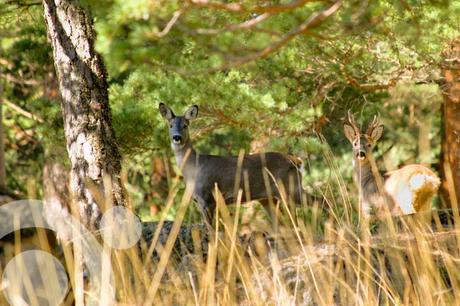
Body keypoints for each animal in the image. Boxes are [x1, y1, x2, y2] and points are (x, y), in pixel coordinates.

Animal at [160, 103, 308, 225]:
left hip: (290, 188)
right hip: (268, 198)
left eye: (185, 125)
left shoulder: (208, 198)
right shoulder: (199, 201)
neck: (193, 168)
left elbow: (212, 232)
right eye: (170, 125)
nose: (177, 137)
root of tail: (297, 161)